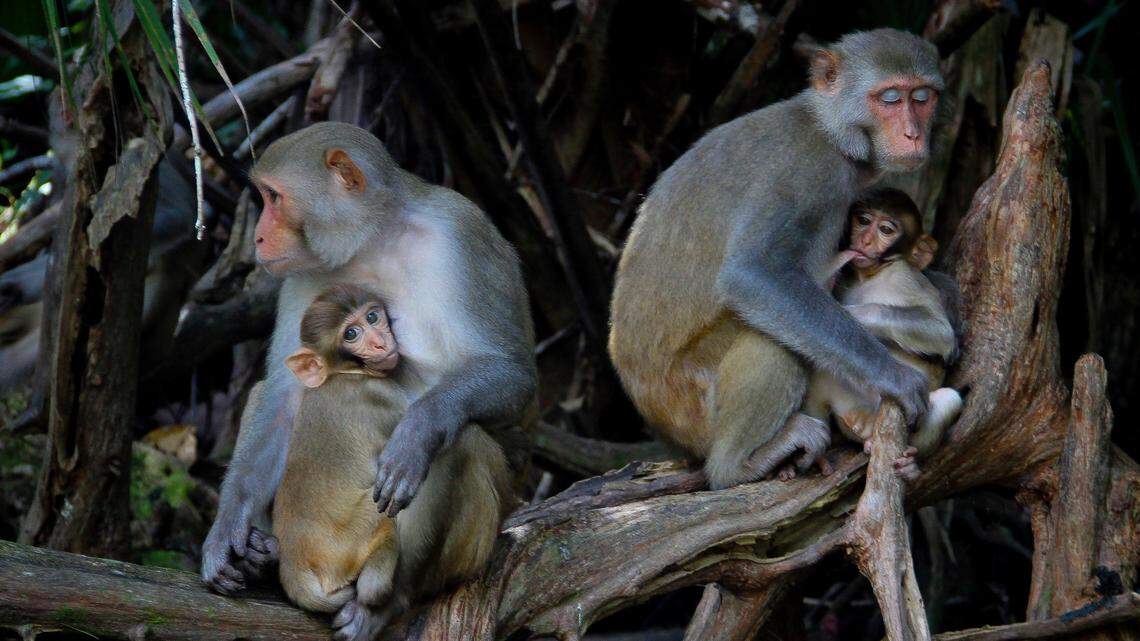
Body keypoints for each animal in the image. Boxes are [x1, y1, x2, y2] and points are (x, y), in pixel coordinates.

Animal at [272, 285, 511, 640]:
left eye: (372, 317)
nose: (379, 342)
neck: (344, 374)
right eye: (351, 334)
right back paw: (380, 594)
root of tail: (292, 563)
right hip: (354, 535)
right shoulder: (383, 396)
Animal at [608, 29, 944, 489]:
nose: (914, 133)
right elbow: (753, 274)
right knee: (771, 335)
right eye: (890, 98)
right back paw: (736, 465)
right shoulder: (805, 172)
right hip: (693, 404)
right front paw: (894, 377)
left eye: (922, 97)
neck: (831, 133)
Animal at [791, 188, 962, 482]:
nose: (865, 239)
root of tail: (866, 425)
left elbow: (941, 332)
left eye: (886, 230)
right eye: (863, 220)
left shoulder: (907, 278)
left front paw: (852, 315)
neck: (871, 276)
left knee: (949, 399)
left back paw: (911, 464)